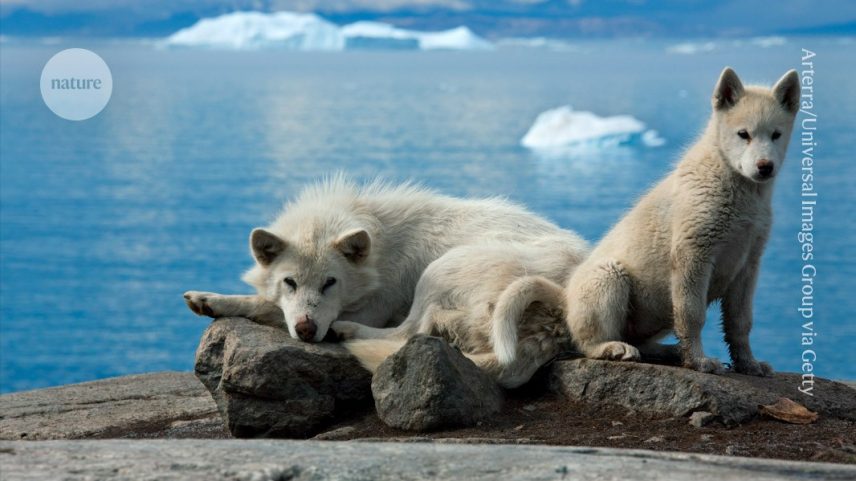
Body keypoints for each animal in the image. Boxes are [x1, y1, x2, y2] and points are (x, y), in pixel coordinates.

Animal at [184, 176, 584, 344]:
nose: (307, 331)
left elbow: (263, 306)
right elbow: (265, 301)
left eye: (330, 283)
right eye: (290, 282)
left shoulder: (371, 309)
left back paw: (347, 332)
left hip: (439, 269)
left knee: (409, 332)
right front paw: (208, 299)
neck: (377, 254)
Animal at [563, 67, 800, 375]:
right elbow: (691, 312)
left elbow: (740, 319)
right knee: (591, 330)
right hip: (607, 276)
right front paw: (700, 361)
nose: (764, 167)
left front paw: (749, 363)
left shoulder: (748, 258)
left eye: (776, 134)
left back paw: (668, 351)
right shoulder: (694, 248)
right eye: (743, 134)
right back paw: (613, 348)